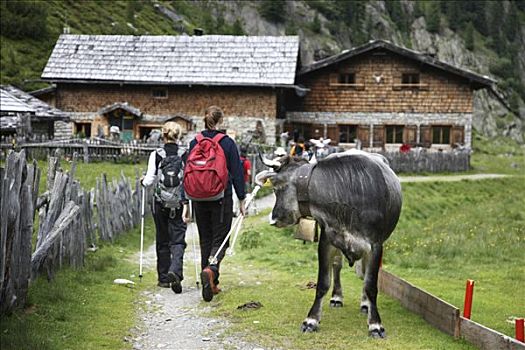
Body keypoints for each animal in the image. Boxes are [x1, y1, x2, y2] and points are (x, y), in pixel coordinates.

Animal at [256, 149, 402, 338]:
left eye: (275, 189)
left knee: (364, 272)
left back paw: (365, 304)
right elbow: (323, 282)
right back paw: (337, 297)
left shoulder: (376, 245)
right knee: (337, 266)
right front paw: (311, 320)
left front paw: (375, 324)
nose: (273, 219)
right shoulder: (326, 241)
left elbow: (370, 285)